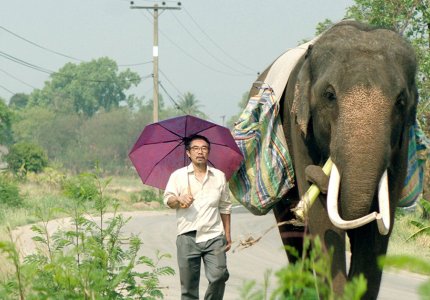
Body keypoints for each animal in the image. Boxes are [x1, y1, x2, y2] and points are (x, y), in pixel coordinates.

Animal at [250, 19, 418, 298]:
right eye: (329, 96)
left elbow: (377, 231)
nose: (314, 174)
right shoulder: (297, 124)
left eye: (401, 101)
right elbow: (323, 222)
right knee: (293, 235)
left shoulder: (401, 144)